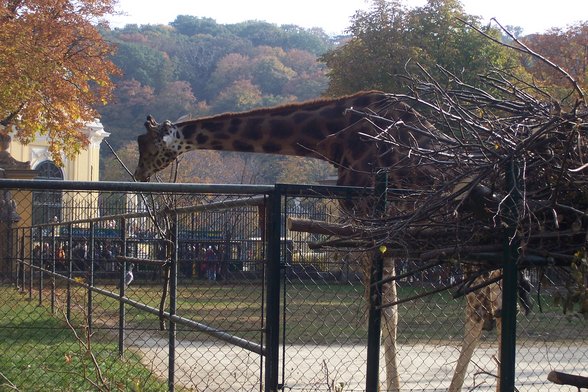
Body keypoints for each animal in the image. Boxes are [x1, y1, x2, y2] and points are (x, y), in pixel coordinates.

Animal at [134, 91, 516, 388]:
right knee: (490, 309)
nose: (139, 174)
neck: (330, 138)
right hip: (477, 246)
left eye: (146, 144)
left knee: (482, 310)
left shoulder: (367, 217)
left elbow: (385, 311)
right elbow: (386, 310)